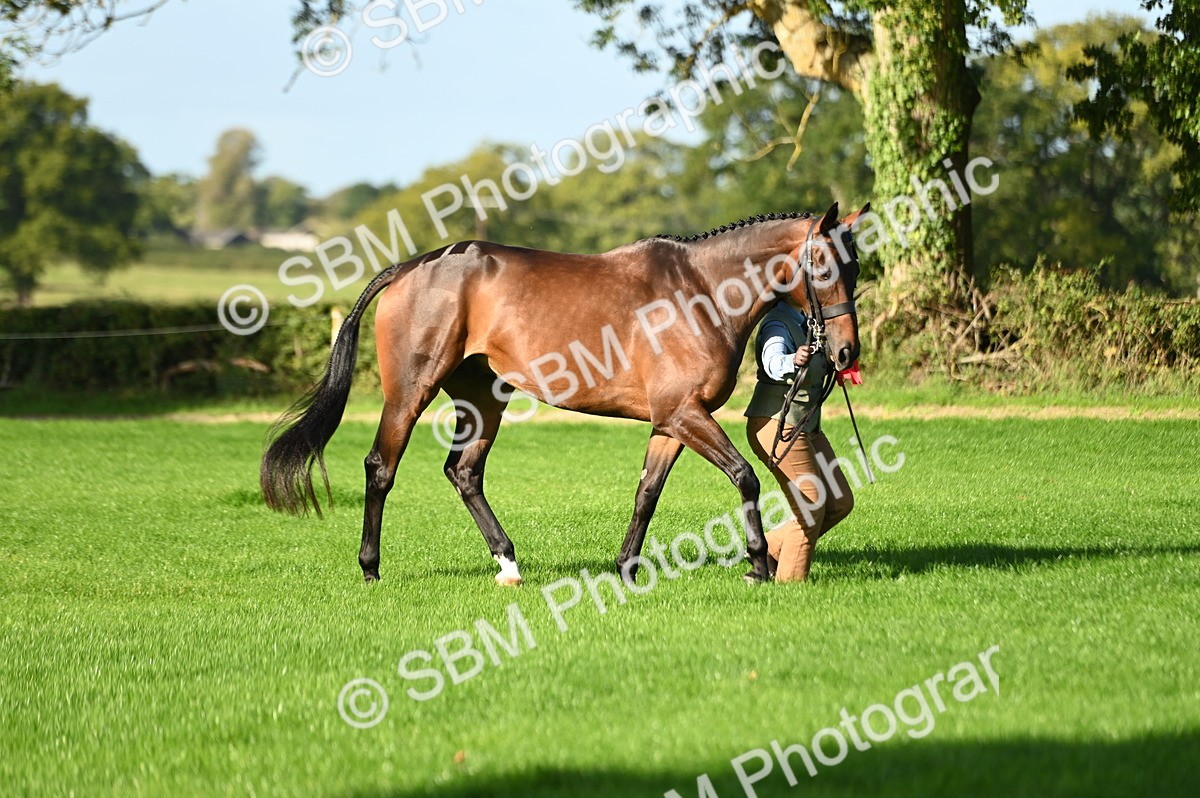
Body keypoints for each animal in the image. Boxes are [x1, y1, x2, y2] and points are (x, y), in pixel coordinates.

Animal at [260, 202, 868, 586]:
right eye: (822, 264)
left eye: (856, 265)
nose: (845, 354)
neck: (702, 291)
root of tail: (409, 267)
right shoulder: (685, 415)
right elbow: (745, 476)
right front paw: (758, 566)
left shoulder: (671, 422)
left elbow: (647, 493)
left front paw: (626, 569)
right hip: (411, 391)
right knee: (381, 468)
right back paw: (371, 568)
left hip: (484, 398)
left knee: (464, 472)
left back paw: (509, 565)